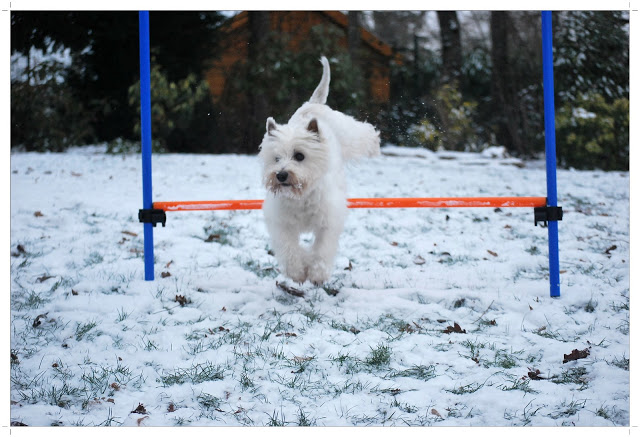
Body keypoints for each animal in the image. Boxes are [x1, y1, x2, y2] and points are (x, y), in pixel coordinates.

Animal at [258, 56, 380, 284]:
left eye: (299, 156)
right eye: (276, 158)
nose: (281, 175)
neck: (302, 195)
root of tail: (312, 104)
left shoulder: (328, 221)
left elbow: (322, 249)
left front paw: (317, 274)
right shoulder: (282, 223)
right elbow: (289, 249)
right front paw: (298, 272)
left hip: (347, 131)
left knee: (365, 132)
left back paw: (375, 145)